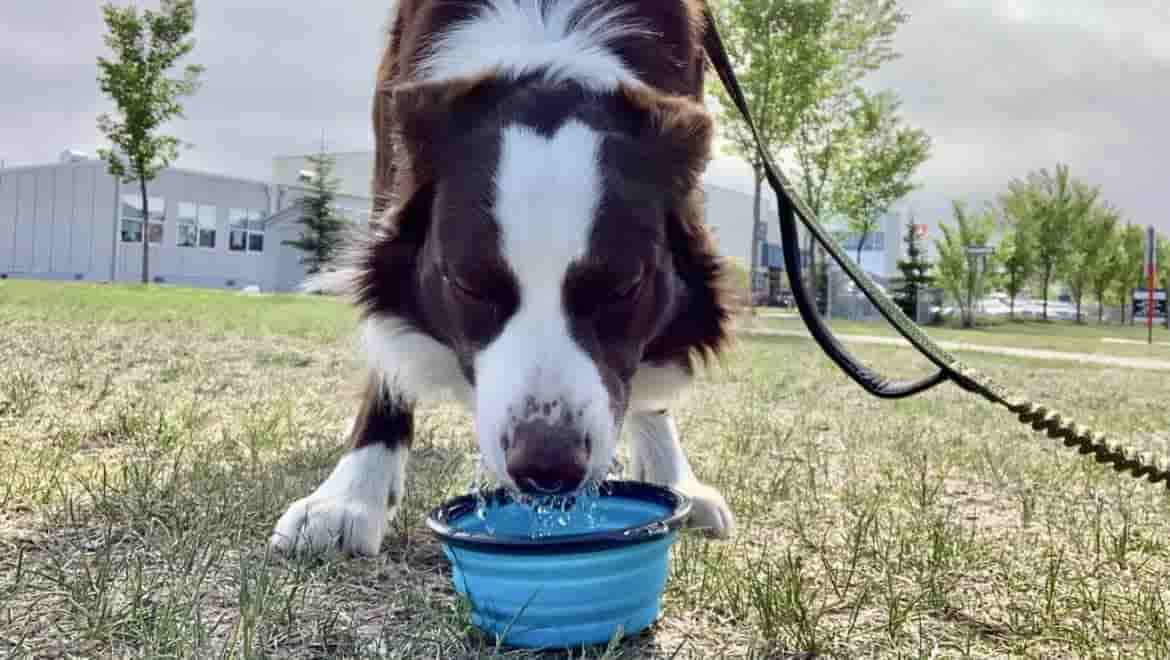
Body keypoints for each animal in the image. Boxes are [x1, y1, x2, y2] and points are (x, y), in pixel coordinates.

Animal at [269, 0, 734, 557]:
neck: (549, 44)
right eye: (468, 285)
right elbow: (386, 335)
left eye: (623, 288)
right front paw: (351, 494)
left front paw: (674, 475)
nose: (547, 469)